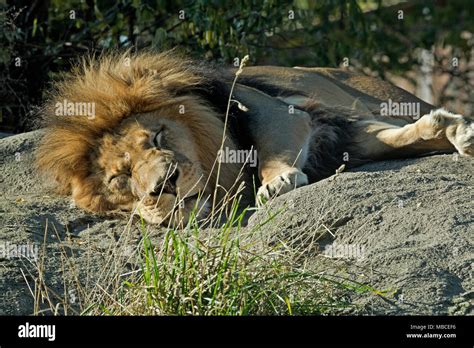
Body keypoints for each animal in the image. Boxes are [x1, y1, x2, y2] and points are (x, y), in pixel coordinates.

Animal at [34, 50, 474, 227]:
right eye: (120, 179)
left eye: (158, 136)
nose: (165, 185)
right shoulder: (337, 133)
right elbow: (394, 138)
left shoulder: (280, 112)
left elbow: (271, 151)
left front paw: (276, 182)